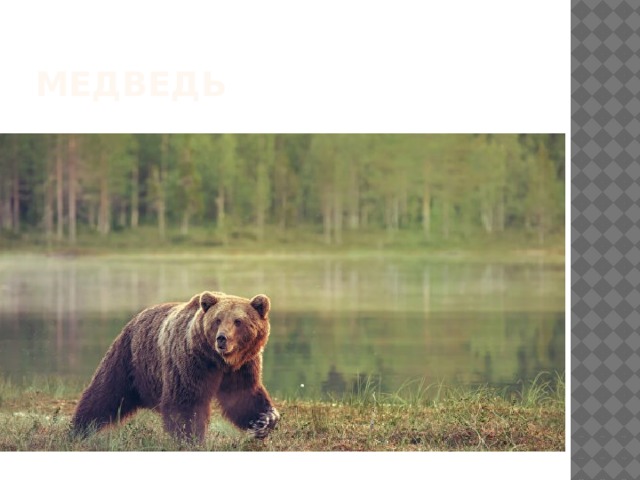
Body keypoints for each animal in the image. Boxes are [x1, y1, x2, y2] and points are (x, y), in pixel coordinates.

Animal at [71, 291, 279, 443]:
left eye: (238, 321)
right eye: (217, 320)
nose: (222, 339)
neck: (218, 361)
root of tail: (136, 317)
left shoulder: (243, 367)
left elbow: (243, 396)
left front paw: (265, 420)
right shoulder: (191, 363)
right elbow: (185, 402)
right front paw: (191, 439)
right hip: (129, 358)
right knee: (104, 393)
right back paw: (79, 430)